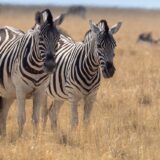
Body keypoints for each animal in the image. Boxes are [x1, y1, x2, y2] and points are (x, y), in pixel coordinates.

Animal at [0, 8, 65, 136]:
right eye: (41, 38)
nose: (50, 66)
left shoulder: (40, 91)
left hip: (8, 93)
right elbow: (21, 118)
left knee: (3, 114)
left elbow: (35, 119)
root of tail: (5, 27)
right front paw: (20, 138)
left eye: (58, 38)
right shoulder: (20, 90)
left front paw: (34, 139)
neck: (37, 68)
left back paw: (3, 136)